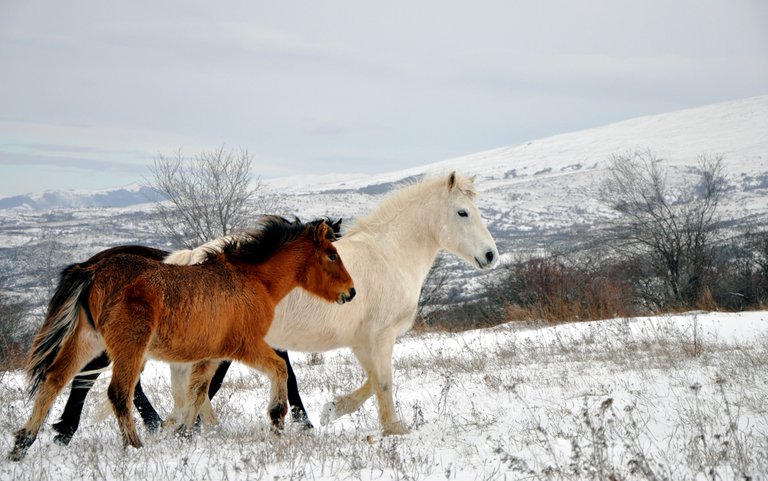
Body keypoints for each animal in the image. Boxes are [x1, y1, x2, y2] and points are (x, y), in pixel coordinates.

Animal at [7, 216, 356, 460]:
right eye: (331, 255)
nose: (350, 292)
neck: (252, 280)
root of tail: (91, 268)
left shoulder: (212, 355)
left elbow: (197, 392)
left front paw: (185, 435)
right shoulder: (246, 346)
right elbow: (281, 372)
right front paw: (278, 419)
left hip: (88, 340)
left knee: (55, 379)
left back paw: (24, 444)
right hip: (128, 345)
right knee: (117, 391)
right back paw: (134, 446)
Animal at [172, 172, 498, 436]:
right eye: (462, 212)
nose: (491, 255)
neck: (388, 256)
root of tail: (191, 259)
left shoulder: (362, 341)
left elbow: (372, 381)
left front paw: (332, 410)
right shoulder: (381, 336)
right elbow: (384, 382)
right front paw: (394, 429)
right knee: (197, 389)